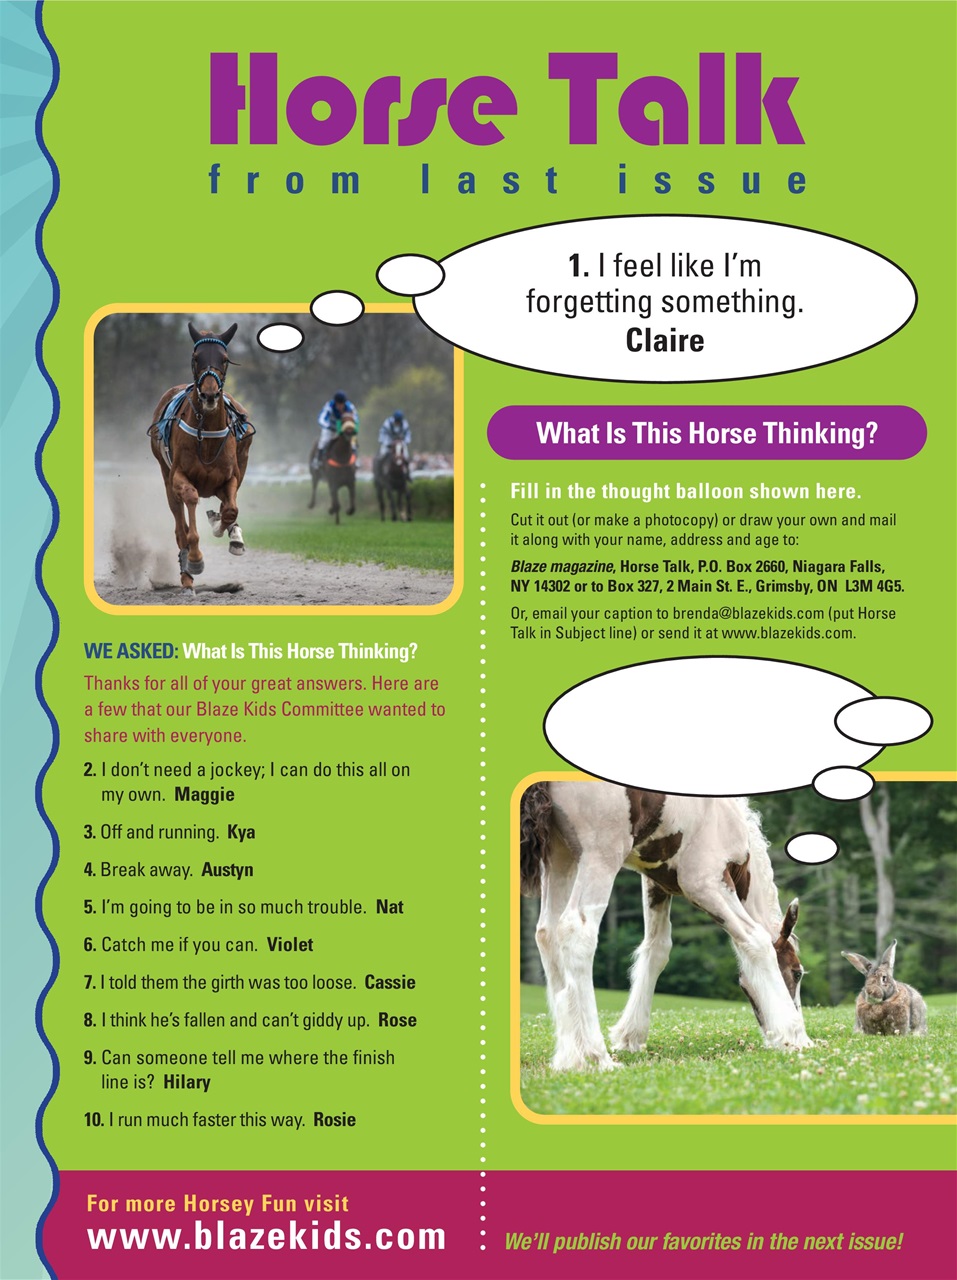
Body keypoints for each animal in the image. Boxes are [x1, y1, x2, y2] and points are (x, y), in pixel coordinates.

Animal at [148, 322, 254, 589]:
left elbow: (230, 509)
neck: (206, 434)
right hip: (165, 475)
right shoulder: (178, 476)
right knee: (179, 524)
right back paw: (186, 574)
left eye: (224, 359)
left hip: (243, 458)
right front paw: (194, 559)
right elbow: (190, 501)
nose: (209, 395)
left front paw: (222, 527)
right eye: (197, 358)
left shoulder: (231, 476)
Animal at [520, 781, 810, 1071]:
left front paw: (630, 1036)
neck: (726, 818)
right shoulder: (704, 882)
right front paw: (794, 1034)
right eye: (797, 973)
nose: (777, 1036)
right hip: (600, 855)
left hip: (560, 855)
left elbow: (657, 948)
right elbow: (755, 939)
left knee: (547, 933)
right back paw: (596, 1057)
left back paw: (570, 1057)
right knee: (576, 930)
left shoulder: (657, 882)